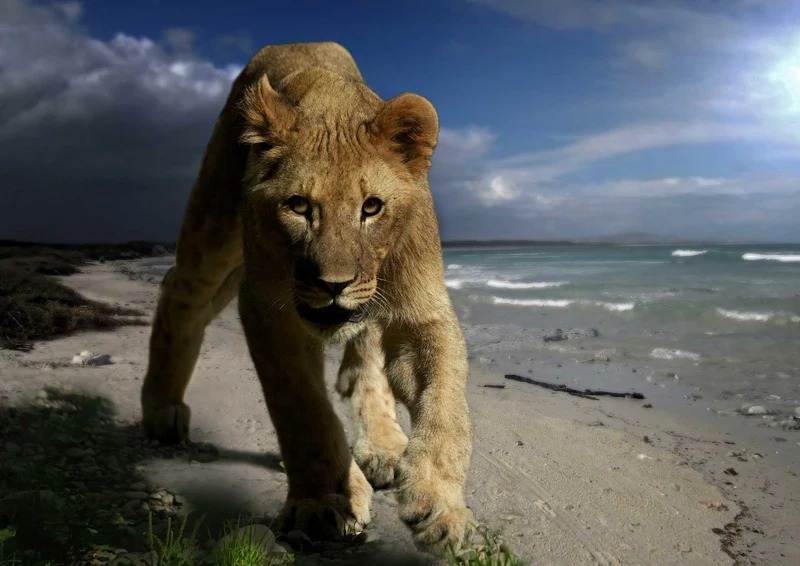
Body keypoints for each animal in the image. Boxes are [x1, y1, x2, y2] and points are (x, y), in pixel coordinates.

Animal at [139, 41, 474, 556]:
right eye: (298, 206)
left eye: (371, 207)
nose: (334, 284)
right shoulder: (267, 308)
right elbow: (302, 409)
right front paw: (322, 502)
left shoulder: (421, 311)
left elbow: (446, 405)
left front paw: (440, 506)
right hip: (215, 223)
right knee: (180, 288)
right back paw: (162, 410)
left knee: (366, 361)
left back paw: (383, 446)